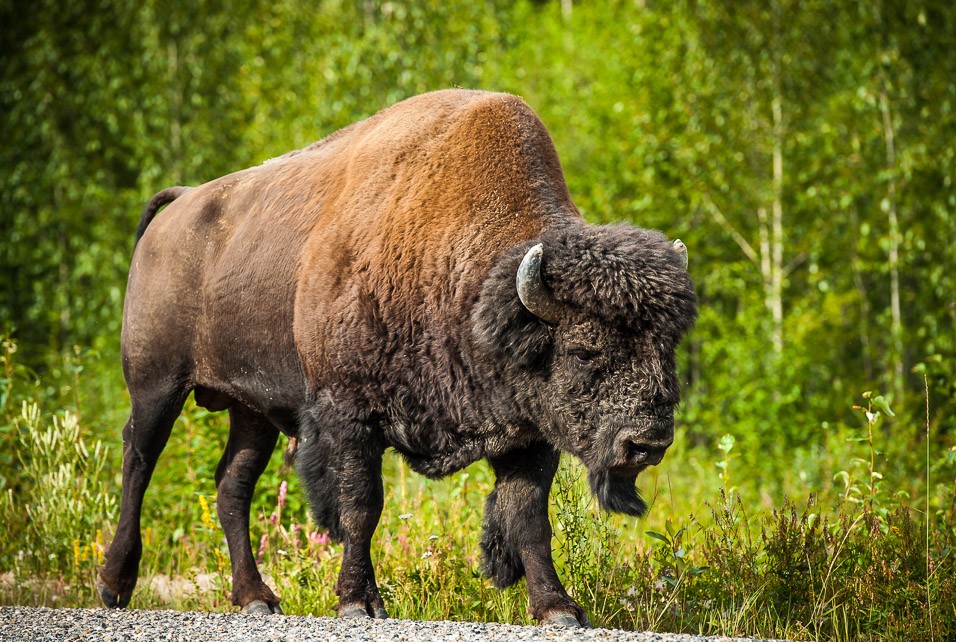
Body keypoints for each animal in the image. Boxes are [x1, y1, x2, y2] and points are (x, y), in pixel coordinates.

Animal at [97, 90, 696, 624]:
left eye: (666, 346)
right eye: (585, 349)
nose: (648, 443)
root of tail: (179, 205)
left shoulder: (527, 435)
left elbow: (528, 518)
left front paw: (558, 609)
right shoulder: (350, 417)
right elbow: (362, 507)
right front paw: (359, 602)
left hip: (251, 410)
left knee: (232, 486)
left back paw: (256, 598)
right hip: (156, 385)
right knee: (139, 460)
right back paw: (115, 585)